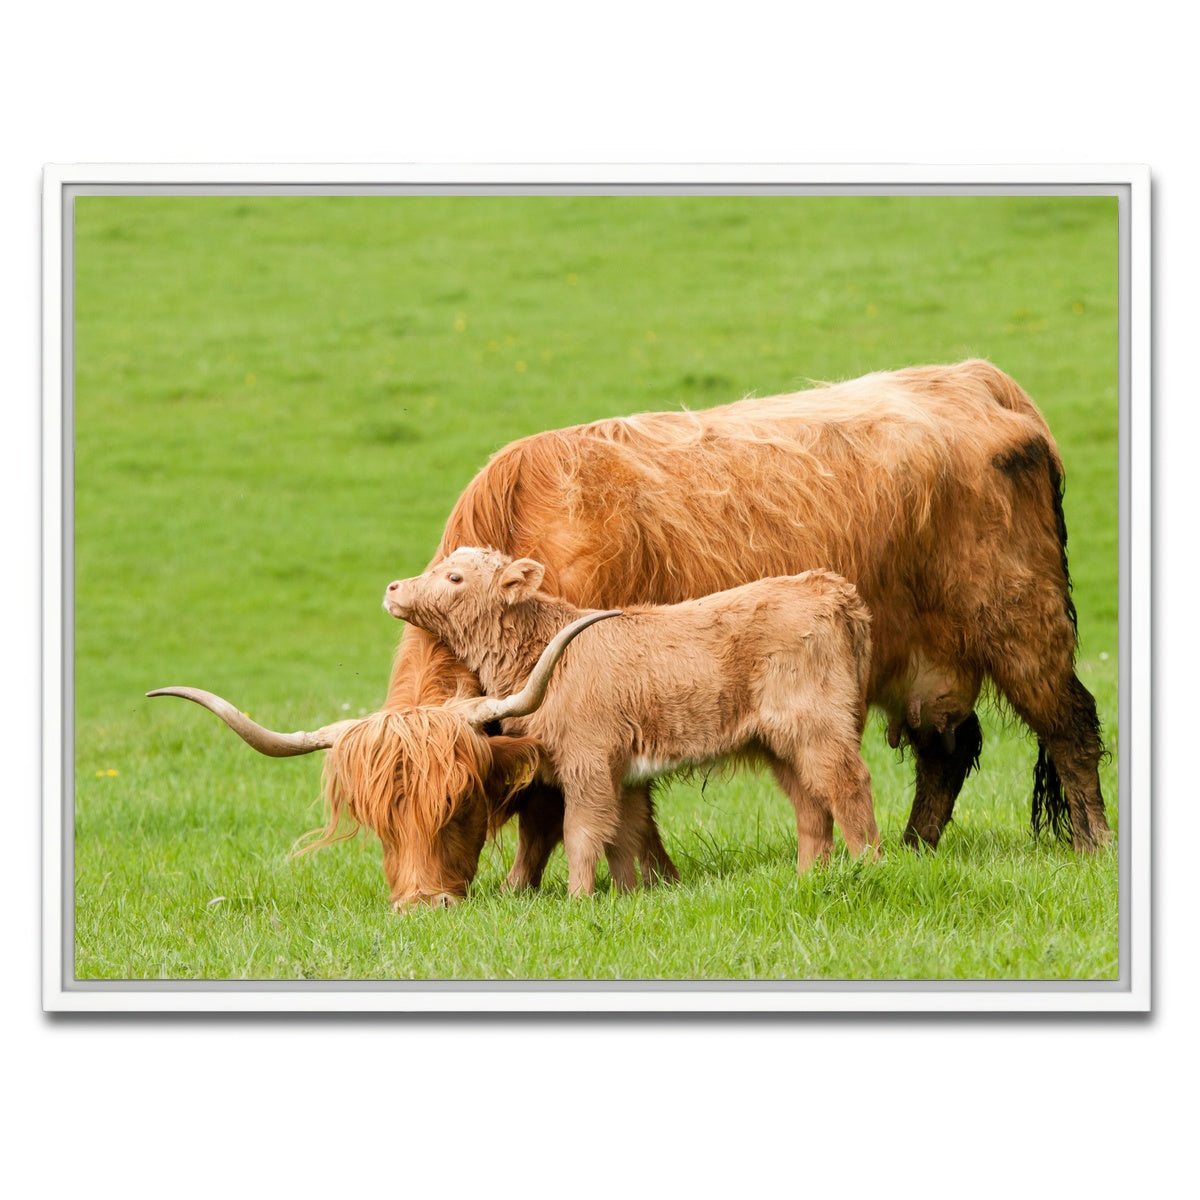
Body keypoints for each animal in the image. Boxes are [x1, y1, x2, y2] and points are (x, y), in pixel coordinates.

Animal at [383, 548, 878, 896]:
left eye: (455, 577)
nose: (392, 588)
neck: (544, 651)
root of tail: (830, 587)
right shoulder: (623, 774)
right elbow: (625, 834)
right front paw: (628, 896)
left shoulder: (588, 763)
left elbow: (582, 832)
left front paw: (578, 900)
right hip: (782, 744)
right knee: (810, 805)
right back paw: (808, 878)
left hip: (819, 727)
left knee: (847, 786)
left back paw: (868, 867)